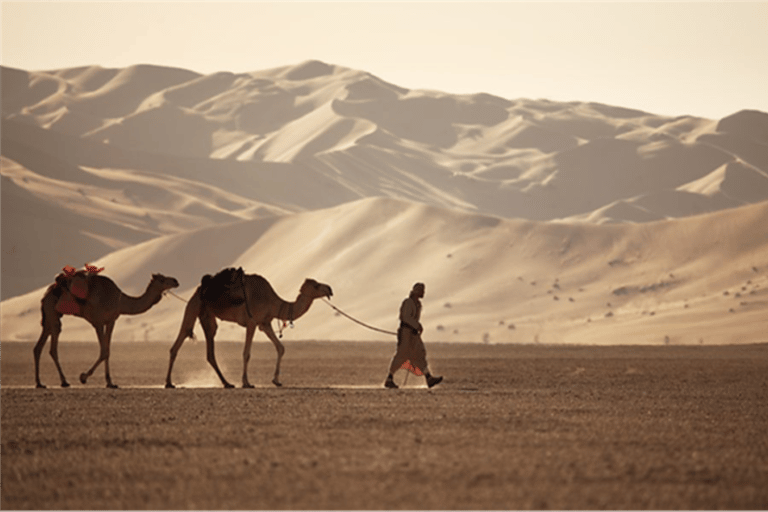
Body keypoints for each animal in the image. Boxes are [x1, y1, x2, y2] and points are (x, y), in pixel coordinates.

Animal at [165, 268, 332, 388]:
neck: (273, 302)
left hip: (207, 316)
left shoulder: (264, 323)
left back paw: (227, 383)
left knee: (210, 352)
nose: (330, 289)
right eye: (317, 285)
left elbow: (280, 348)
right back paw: (168, 383)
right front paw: (246, 383)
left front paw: (276, 381)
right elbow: (246, 353)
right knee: (181, 338)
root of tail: (200, 288)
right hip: (193, 306)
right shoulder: (252, 322)